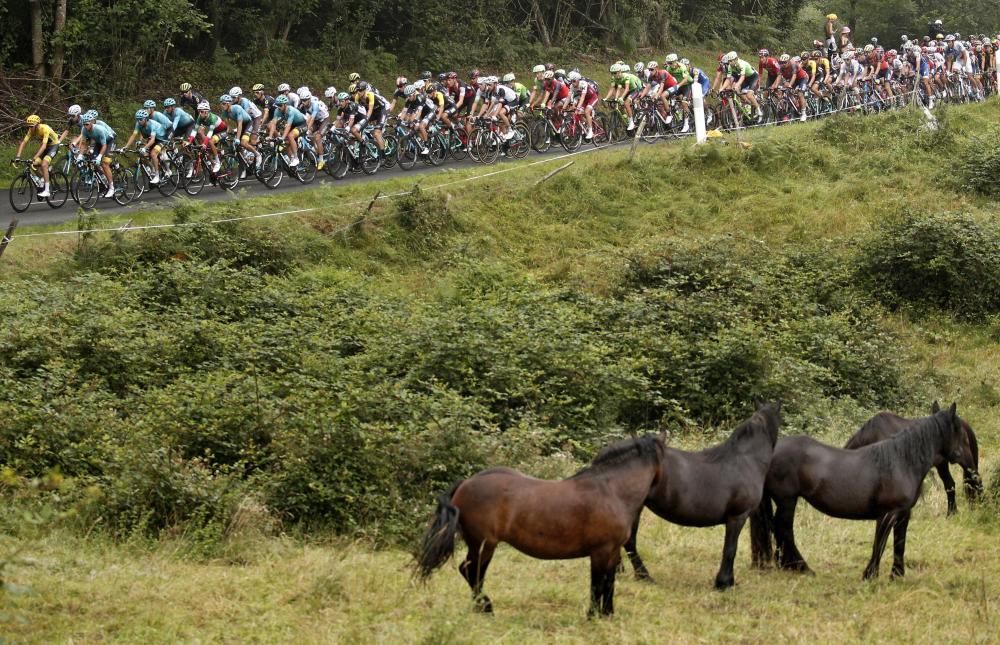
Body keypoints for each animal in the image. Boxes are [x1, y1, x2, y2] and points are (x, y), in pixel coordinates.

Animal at [414, 432, 664, 612]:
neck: (610, 491)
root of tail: (465, 483)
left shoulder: (612, 552)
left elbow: (609, 585)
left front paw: (607, 615)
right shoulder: (600, 552)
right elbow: (597, 586)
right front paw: (593, 616)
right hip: (484, 545)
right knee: (471, 572)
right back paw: (486, 607)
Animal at [624, 402, 780, 588]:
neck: (746, 460)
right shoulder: (737, 517)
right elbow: (730, 549)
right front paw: (724, 582)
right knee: (629, 542)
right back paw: (644, 576)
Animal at [848, 402, 980, 512]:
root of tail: (965, 424)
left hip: (966, 460)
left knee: (976, 479)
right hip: (942, 464)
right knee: (950, 484)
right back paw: (952, 513)